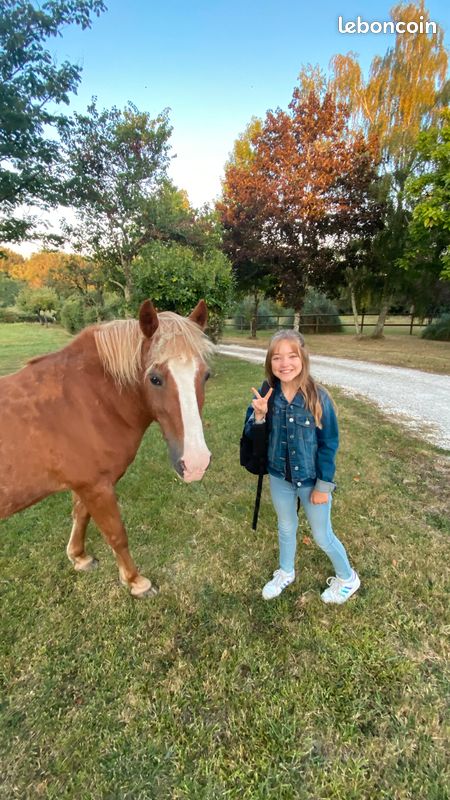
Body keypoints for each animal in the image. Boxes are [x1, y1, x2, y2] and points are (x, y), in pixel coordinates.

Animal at [0, 300, 213, 597]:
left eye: (206, 375)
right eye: (155, 378)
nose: (196, 463)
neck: (84, 403)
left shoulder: (87, 486)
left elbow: (81, 515)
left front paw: (79, 557)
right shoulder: (96, 486)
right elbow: (116, 534)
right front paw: (136, 581)